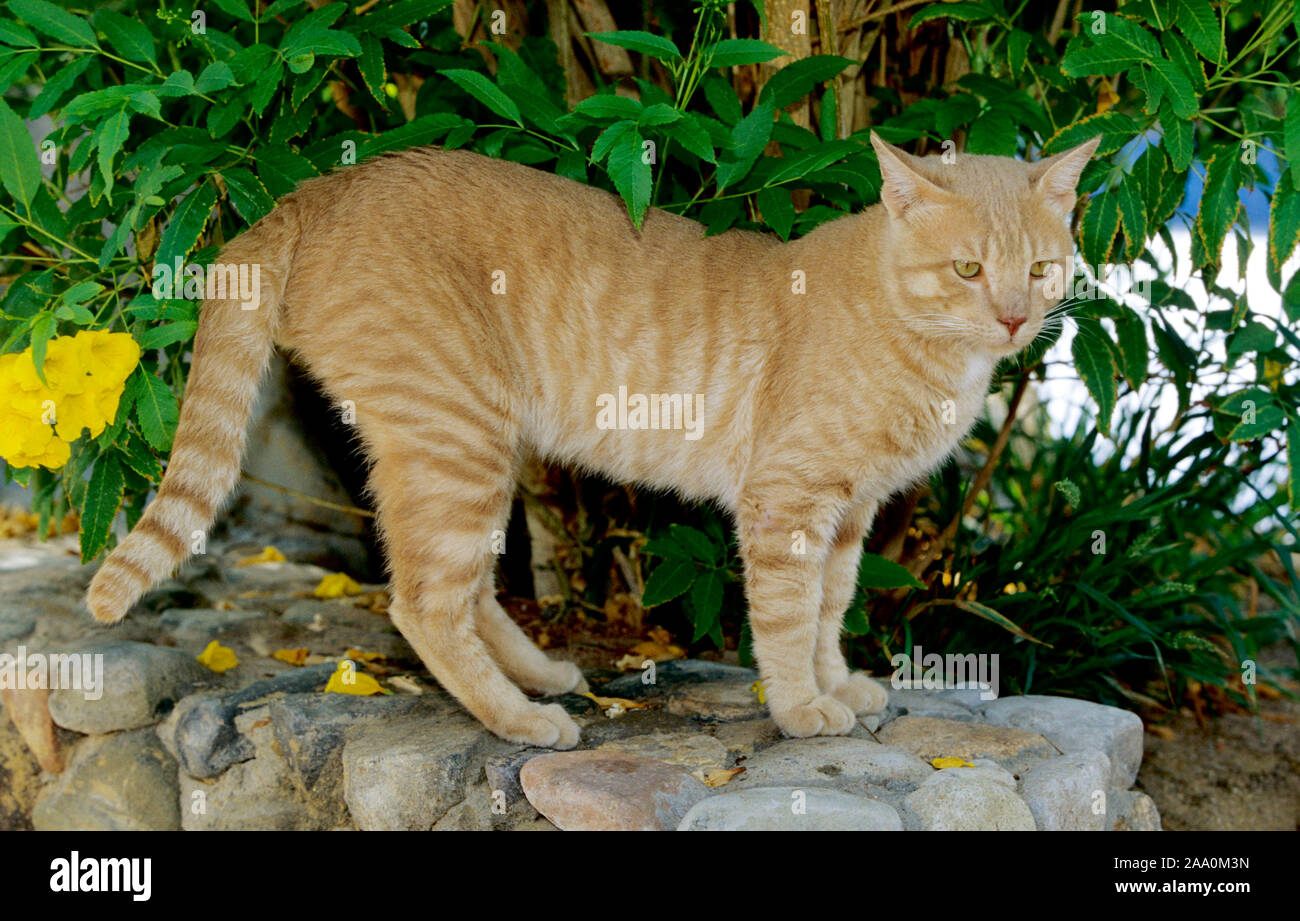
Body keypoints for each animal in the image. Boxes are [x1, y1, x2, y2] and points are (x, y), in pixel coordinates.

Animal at [86, 131, 1097, 749]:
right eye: (966, 269)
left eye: (1043, 268)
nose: (1014, 318)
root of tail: (319, 190)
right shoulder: (789, 506)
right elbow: (784, 619)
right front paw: (802, 707)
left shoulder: (847, 517)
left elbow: (828, 614)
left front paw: (834, 684)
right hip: (460, 436)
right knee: (421, 603)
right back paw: (520, 720)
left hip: (459, 451)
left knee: (456, 586)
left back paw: (540, 675)